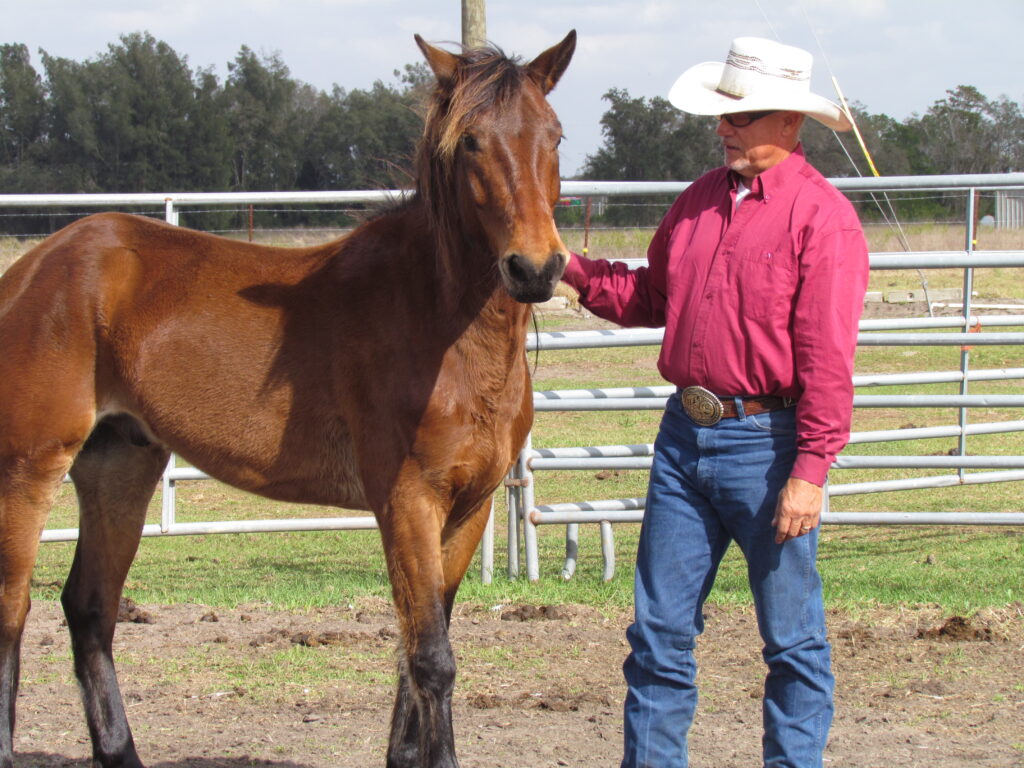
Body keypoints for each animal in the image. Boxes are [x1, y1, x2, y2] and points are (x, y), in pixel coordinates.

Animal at [0, 31, 576, 768]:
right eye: (471, 141)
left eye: (554, 135)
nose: (535, 268)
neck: (437, 321)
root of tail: (34, 268)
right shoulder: (408, 503)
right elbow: (432, 658)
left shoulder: (469, 507)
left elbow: (417, 651)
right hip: (28, 470)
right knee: (13, 615)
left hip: (118, 466)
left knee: (90, 609)